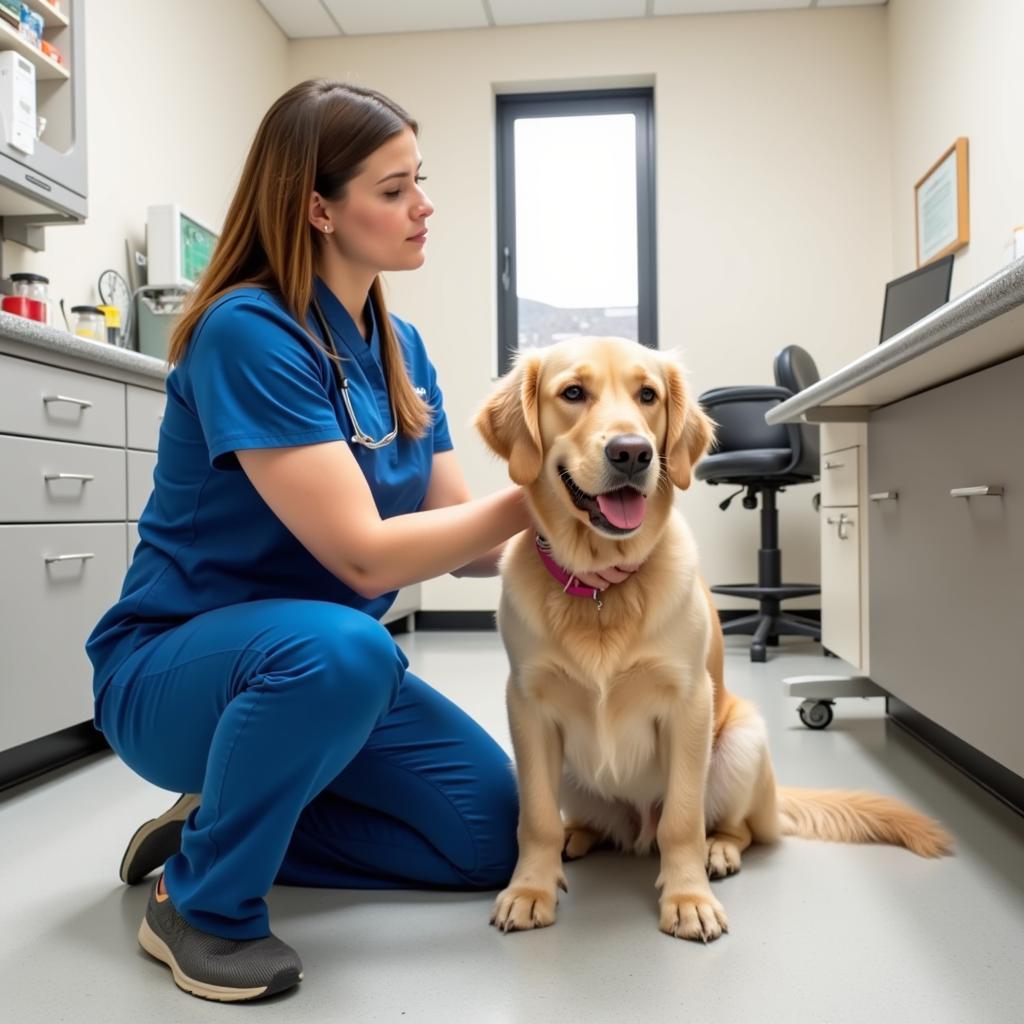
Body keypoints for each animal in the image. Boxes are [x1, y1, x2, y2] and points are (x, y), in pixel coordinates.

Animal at [475, 335, 954, 942]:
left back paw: (717, 852)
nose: (632, 453)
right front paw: (530, 888)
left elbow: (682, 820)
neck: (603, 586)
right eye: (573, 393)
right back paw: (575, 838)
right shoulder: (527, 706)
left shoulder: (689, 704)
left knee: (734, 829)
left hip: (742, 741)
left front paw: (688, 899)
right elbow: (535, 817)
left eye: (648, 395)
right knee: (590, 824)